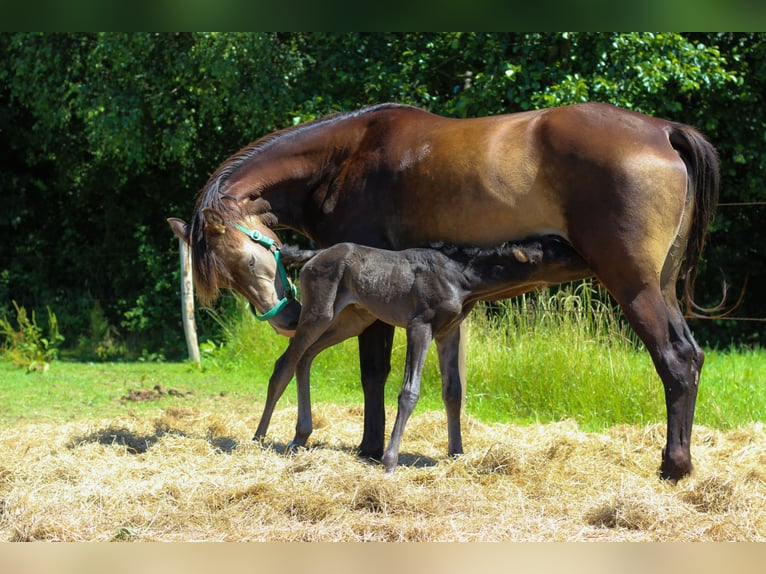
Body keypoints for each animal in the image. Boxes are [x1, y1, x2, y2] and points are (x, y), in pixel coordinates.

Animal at [170, 102, 720, 482]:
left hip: (636, 286)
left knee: (674, 361)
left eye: (247, 260)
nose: (284, 319)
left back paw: (674, 465)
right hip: (661, 287)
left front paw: (371, 448)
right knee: (691, 357)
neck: (342, 157)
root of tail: (662, 132)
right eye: (226, 278)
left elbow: (374, 373)